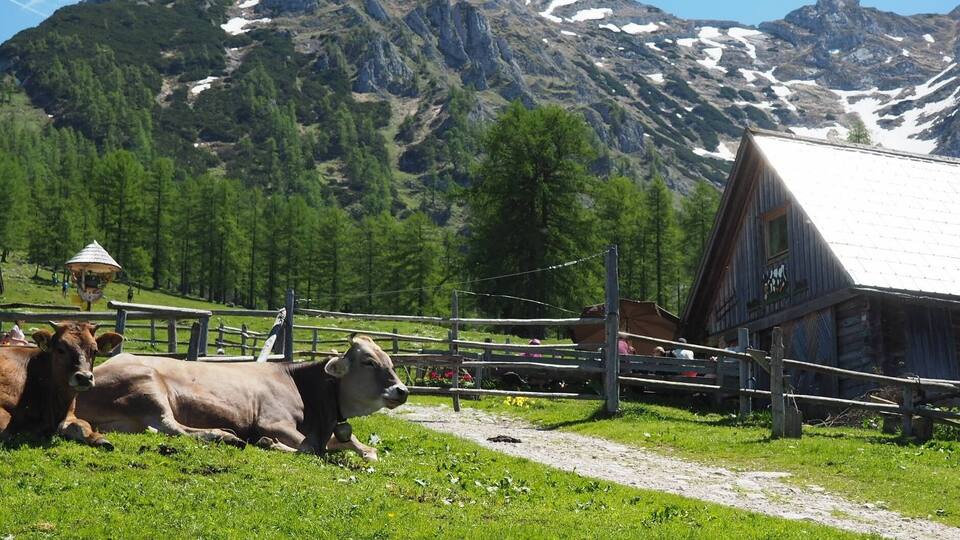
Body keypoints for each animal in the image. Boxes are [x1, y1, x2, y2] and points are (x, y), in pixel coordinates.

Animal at [75, 335, 408, 460]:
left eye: (390, 361)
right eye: (368, 361)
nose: (402, 390)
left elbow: (365, 449)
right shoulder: (273, 421)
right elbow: (309, 447)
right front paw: (269, 443)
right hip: (148, 387)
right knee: (172, 427)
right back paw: (225, 436)